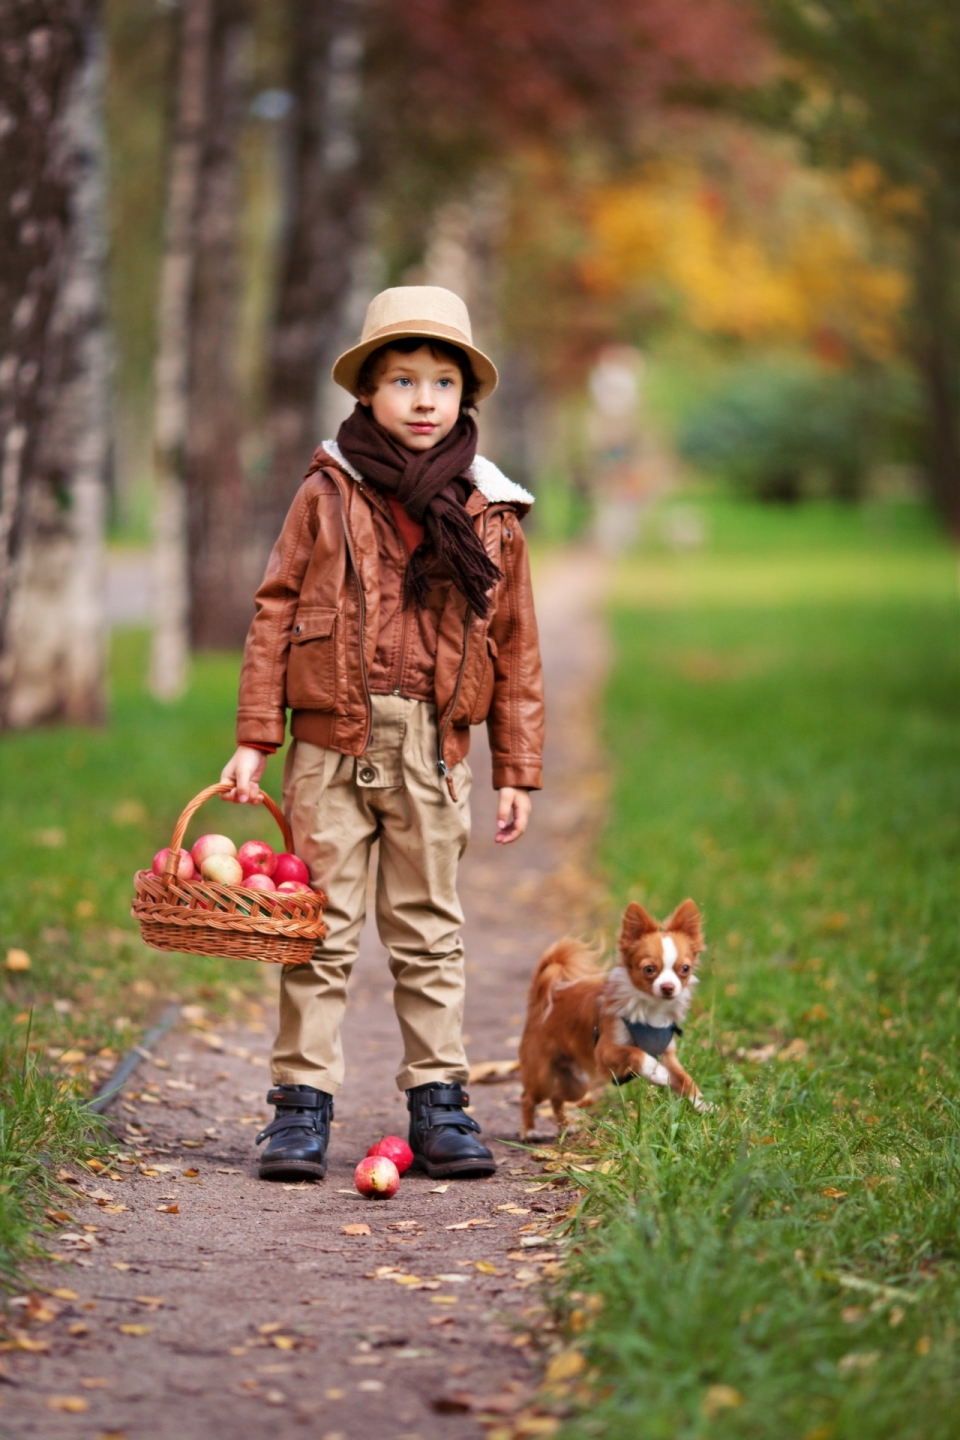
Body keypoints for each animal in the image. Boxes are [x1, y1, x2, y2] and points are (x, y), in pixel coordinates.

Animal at [518, 898, 705, 1134]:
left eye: (685, 969)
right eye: (649, 969)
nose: (668, 987)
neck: (651, 1009)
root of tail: (538, 1004)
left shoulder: (669, 1056)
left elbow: (686, 1080)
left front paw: (705, 1106)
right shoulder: (605, 1052)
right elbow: (634, 1052)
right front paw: (656, 1071)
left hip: (576, 1083)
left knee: (557, 1097)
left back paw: (565, 1127)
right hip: (541, 1077)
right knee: (528, 1097)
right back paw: (529, 1131)